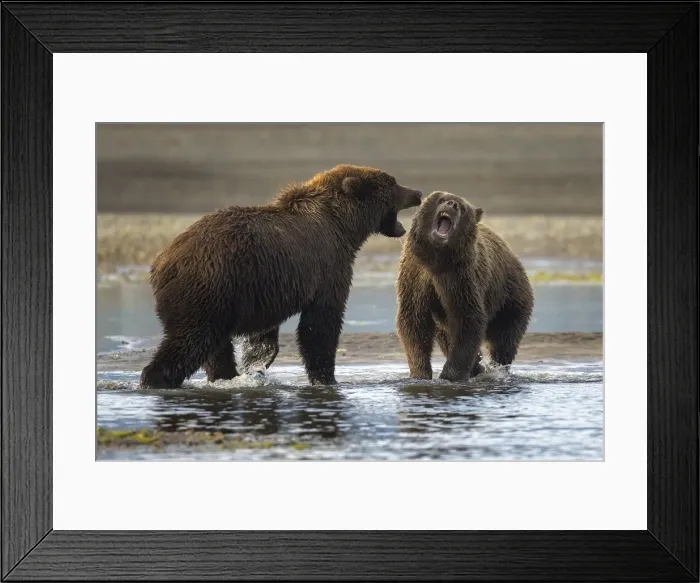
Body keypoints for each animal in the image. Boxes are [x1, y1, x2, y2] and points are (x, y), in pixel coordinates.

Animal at [140, 164, 423, 389]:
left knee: (215, 346)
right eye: (394, 184)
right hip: (208, 288)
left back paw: (225, 376)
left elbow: (266, 332)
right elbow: (320, 324)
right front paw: (326, 378)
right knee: (191, 340)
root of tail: (163, 262)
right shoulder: (328, 266)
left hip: (222, 298)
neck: (344, 226)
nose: (418, 193)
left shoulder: (267, 285)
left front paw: (257, 361)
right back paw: (155, 378)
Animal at [396, 191, 534, 382]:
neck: (436, 259)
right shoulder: (416, 276)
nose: (452, 204)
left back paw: (497, 368)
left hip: (510, 297)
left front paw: (450, 375)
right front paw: (420, 373)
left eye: (462, 208)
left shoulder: (460, 278)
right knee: (446, 336)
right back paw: (478, 366)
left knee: (504, 339)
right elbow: (414, 322)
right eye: (442, 199)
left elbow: (468, 320)